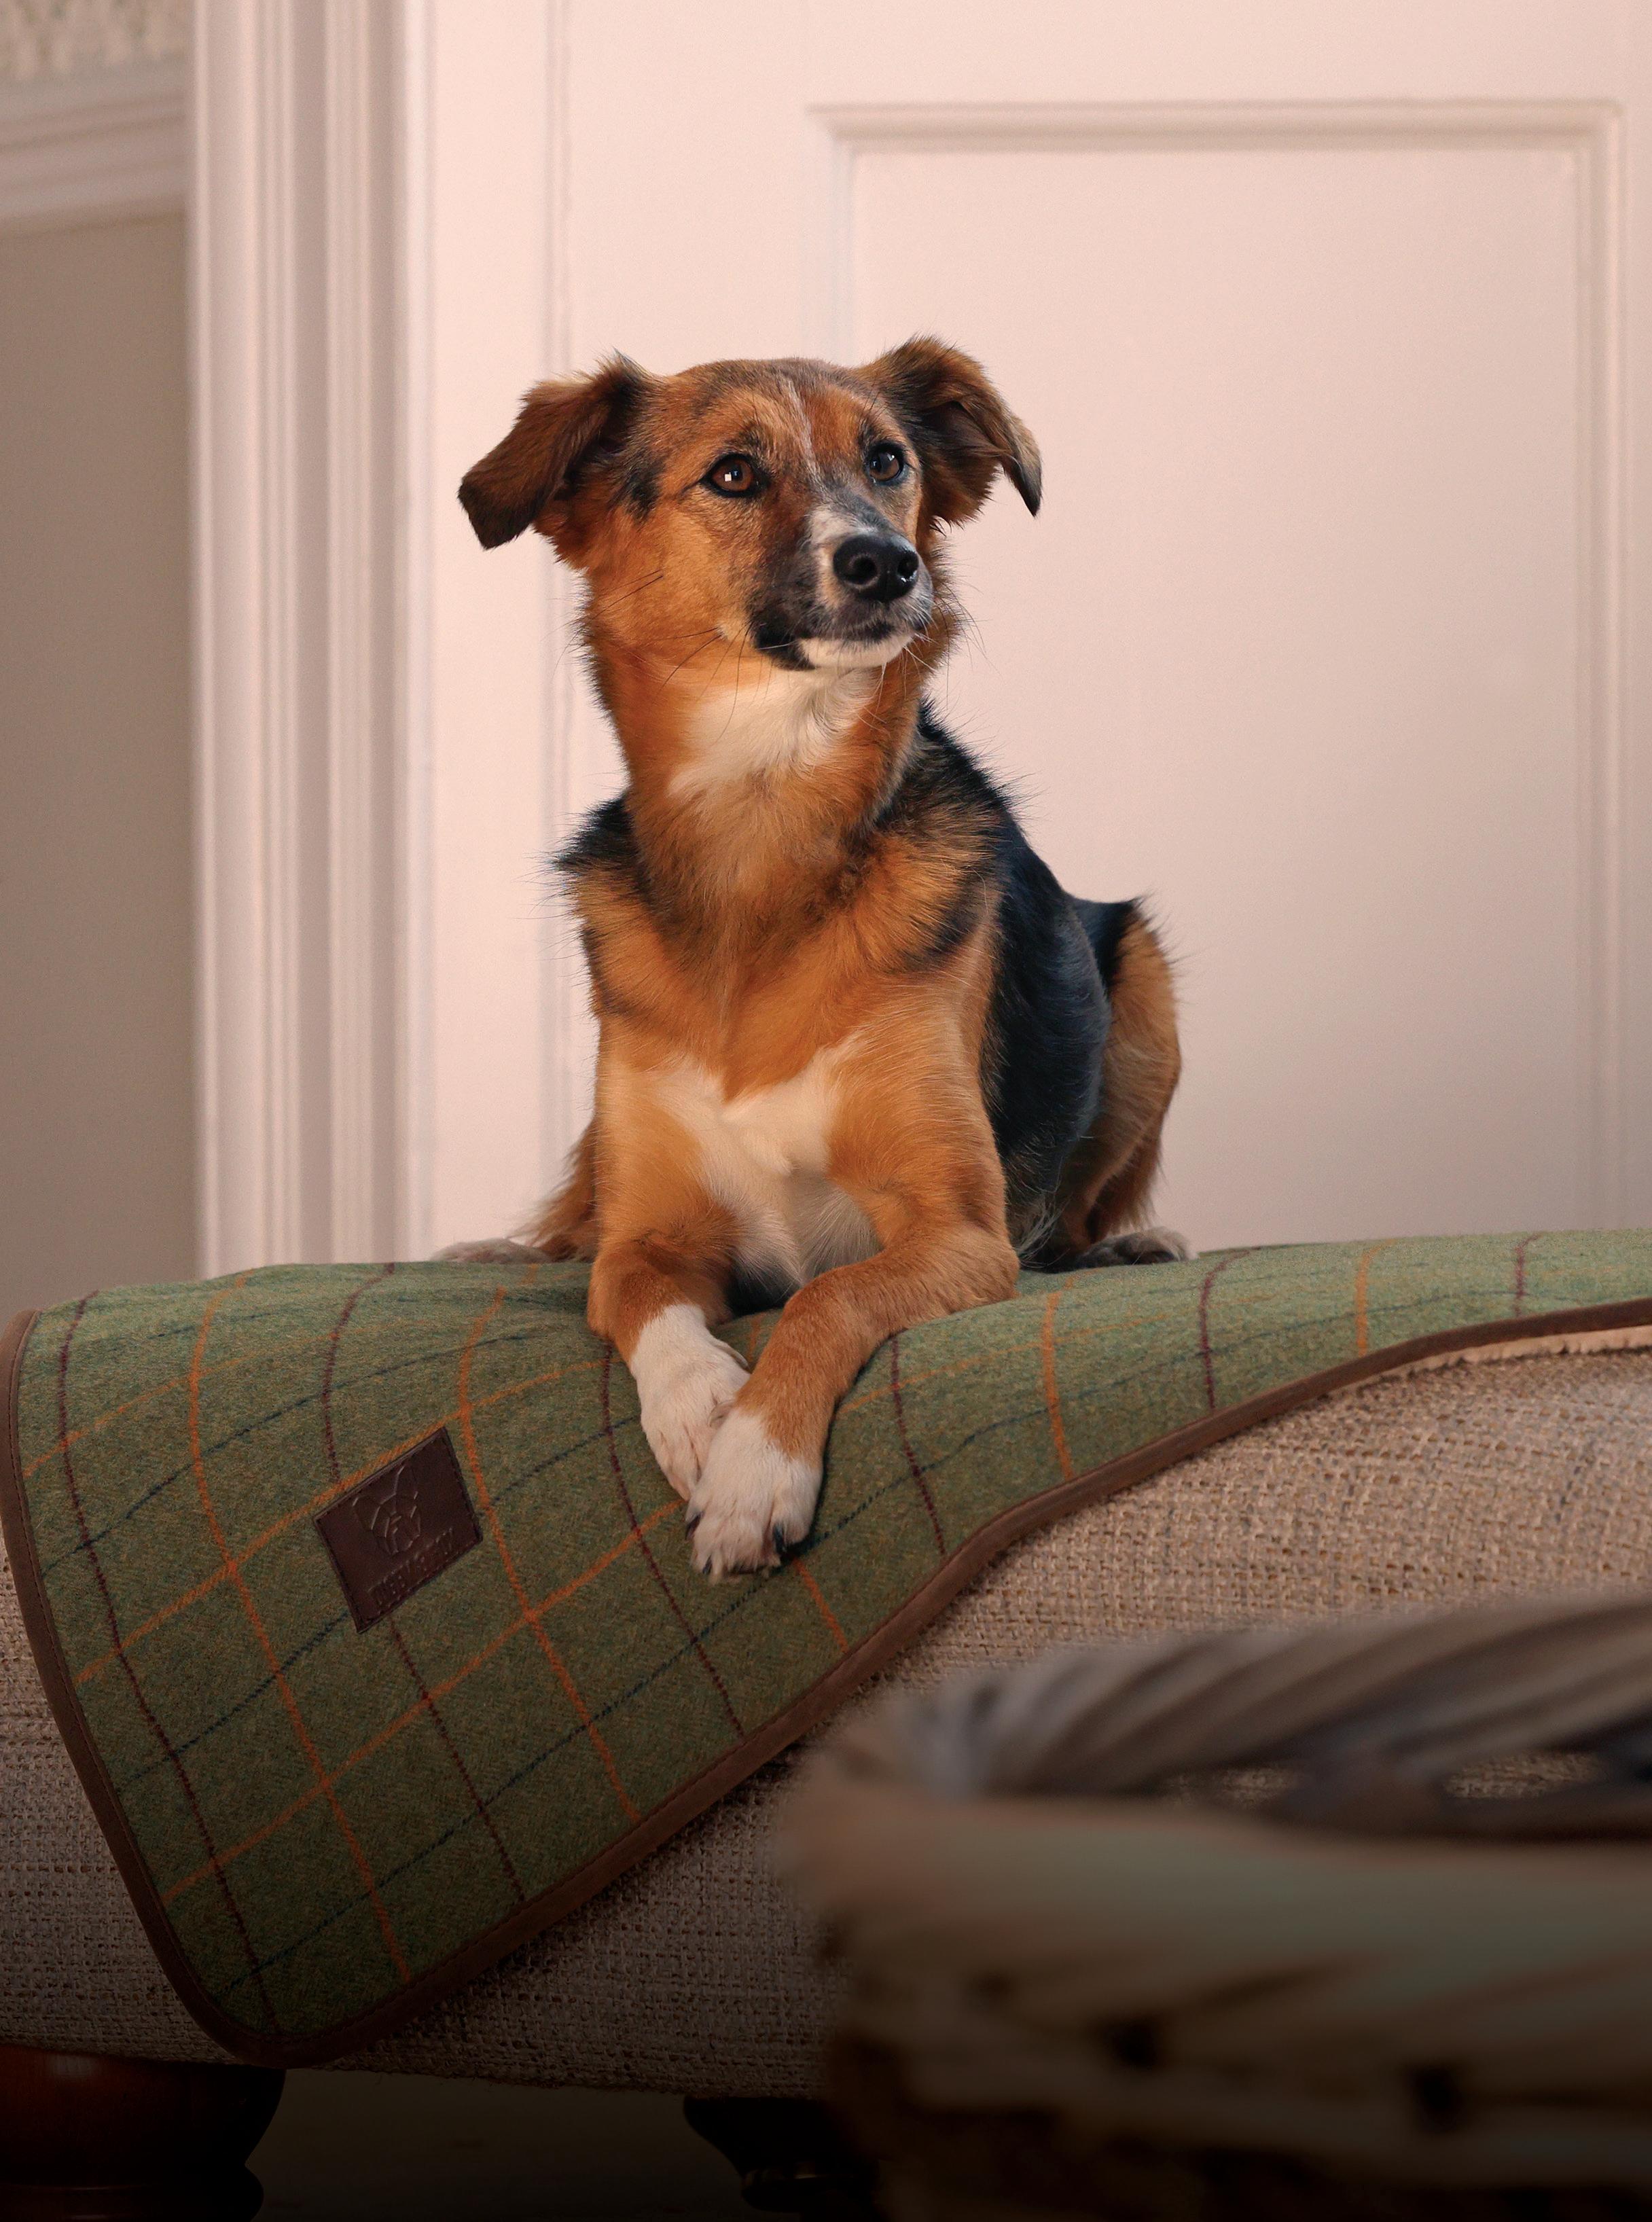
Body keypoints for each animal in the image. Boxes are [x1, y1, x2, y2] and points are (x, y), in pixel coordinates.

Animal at [453, 339, 1184, 1578]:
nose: (884, 562)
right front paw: (704, 1406)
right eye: (734, 474)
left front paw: (755, 1464)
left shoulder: (958, 1233)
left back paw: (1132, 1243)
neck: (766, 817)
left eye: (886, 461)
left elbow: (827, 1295)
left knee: (1084, 1208)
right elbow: (637, 1294)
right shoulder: (648, 1232)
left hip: (1143, 979)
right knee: (568, 1224)